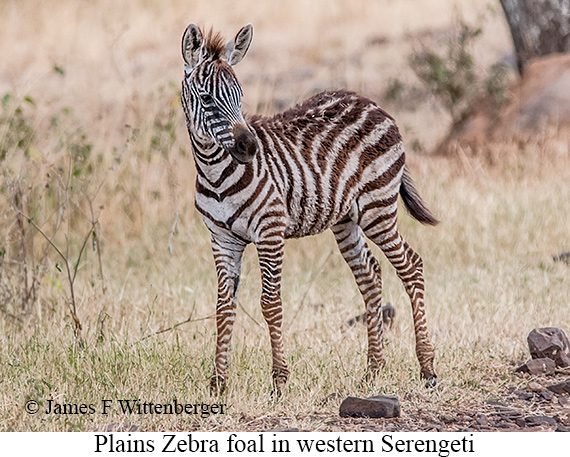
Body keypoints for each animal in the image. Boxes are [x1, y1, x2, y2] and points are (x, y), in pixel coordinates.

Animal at [180, 22, 438, 392]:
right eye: (206, 99)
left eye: (240, 96)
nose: (248, 147)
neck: (215, 174)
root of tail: (370, 102)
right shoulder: (222, 240)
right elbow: (223, 307)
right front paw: (218, 383)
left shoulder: (270, 231)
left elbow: (270, 303)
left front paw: (279, 380)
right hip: (346, 219)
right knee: (370, 275)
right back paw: (373, 369)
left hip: (378, 208)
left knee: (411, 267)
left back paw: (427, 368)